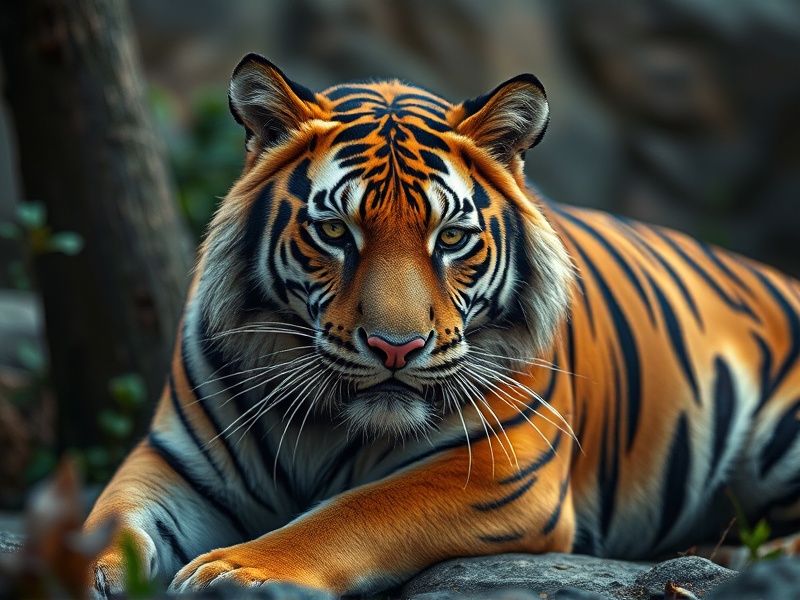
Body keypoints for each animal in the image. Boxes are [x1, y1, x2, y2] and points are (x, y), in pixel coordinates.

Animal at [85, 53, 800, 596]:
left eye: (451, 238)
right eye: (335, 232)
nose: (395, 348)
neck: (325, 425)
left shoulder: (502, 467)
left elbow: (353, 512)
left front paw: (236, 571)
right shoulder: (175, 462)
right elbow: (110, 518)